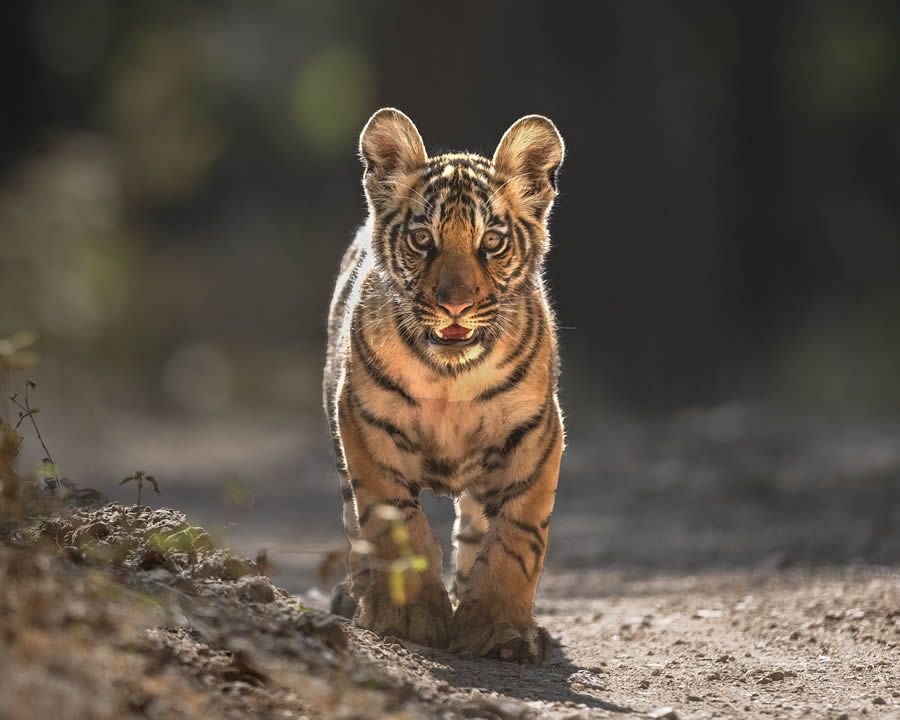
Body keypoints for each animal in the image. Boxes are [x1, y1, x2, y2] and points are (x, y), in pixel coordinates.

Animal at [322, 107, 564, 664]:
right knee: (354, 522)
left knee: (475, 530)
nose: (456, 304)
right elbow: (395, 523)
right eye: (422, 240)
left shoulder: (538, 432)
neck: (452, 376)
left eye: (491, 242)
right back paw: (355, 595)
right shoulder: (364, 422)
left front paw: (500, 629)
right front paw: (408, 617)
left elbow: (518, 537)